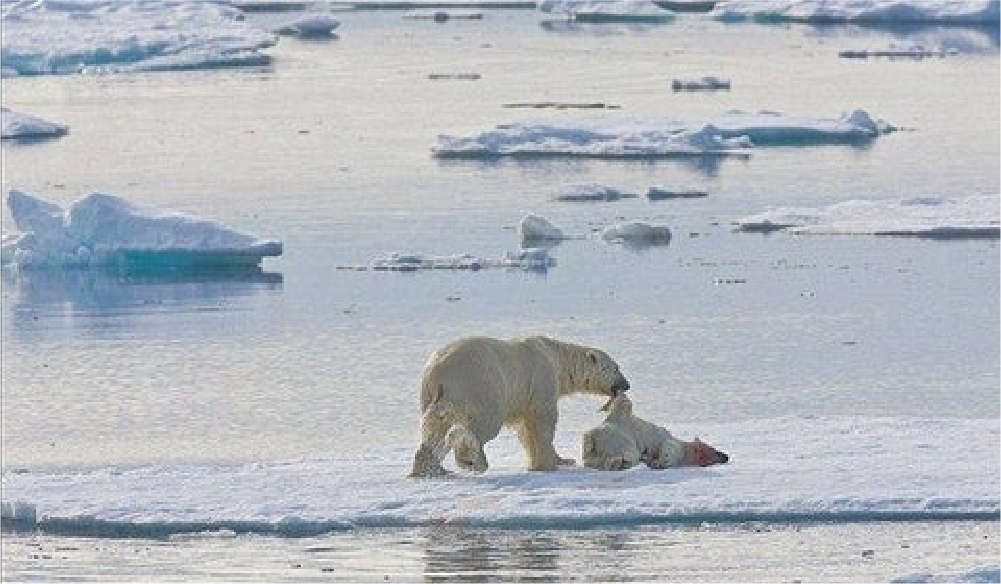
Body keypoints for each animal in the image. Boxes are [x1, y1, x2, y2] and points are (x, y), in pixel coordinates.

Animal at [406, 336, 624, 476]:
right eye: (616, 368)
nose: (627, 384)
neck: (554, 357)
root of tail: (438, 372)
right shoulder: (542, 381)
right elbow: (543, 421)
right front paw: (548, 464)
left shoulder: (523, 397)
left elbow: (524, 429)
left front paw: (560, 460)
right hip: (479, 386)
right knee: (481, 425)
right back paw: (474, 461)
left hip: (430, 395)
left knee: (436, 427)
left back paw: (432, 469)